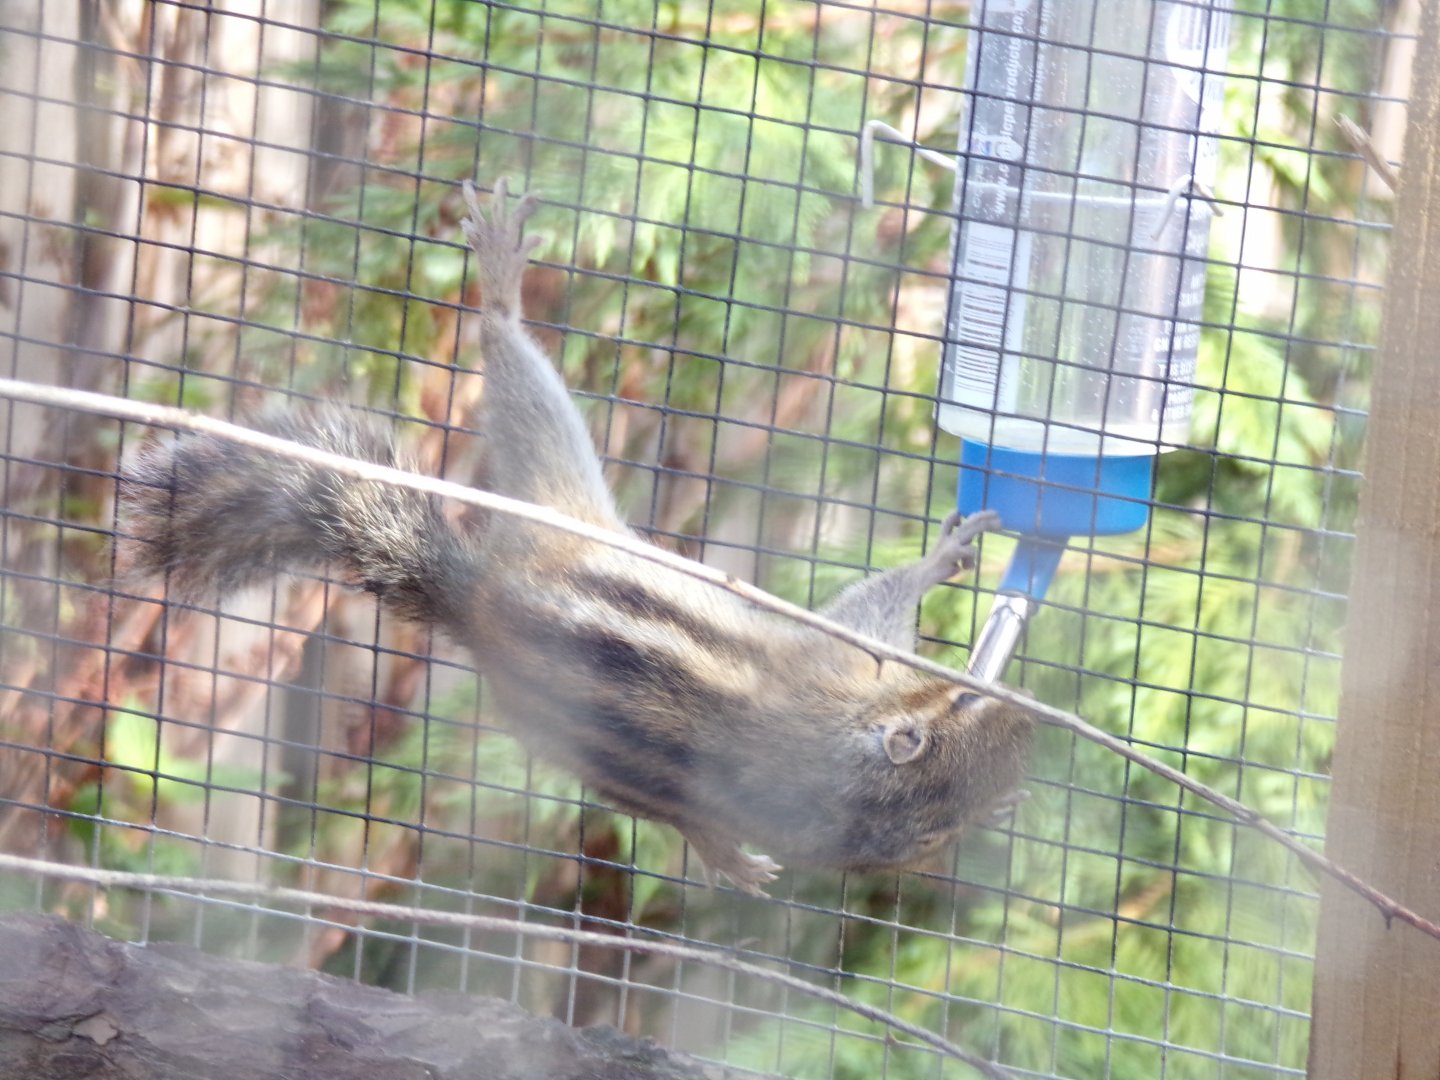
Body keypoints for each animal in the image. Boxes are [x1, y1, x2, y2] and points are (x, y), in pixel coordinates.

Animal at [120, 179, 1034, 895]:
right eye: (964, 700)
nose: (1026, 723)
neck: (840, 769)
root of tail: (471, 598)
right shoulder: (835, 662)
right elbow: (870, 607)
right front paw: (941, 559)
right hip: (560, 496)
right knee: (516, 370)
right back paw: (499, 290)